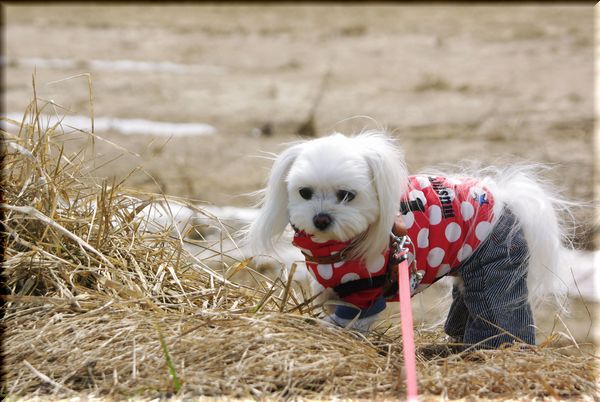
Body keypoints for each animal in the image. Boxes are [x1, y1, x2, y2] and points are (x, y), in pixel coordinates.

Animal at [247, 131, 572, 348]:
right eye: (304, 192)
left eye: (347, 195)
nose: (322, 219)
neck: (336, 248)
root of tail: (505, 199)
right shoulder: (332, 286)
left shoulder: (364, 293)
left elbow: (348, 321)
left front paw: (328, 333)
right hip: (472, 272)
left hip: (497, 267)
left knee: (498, 315)